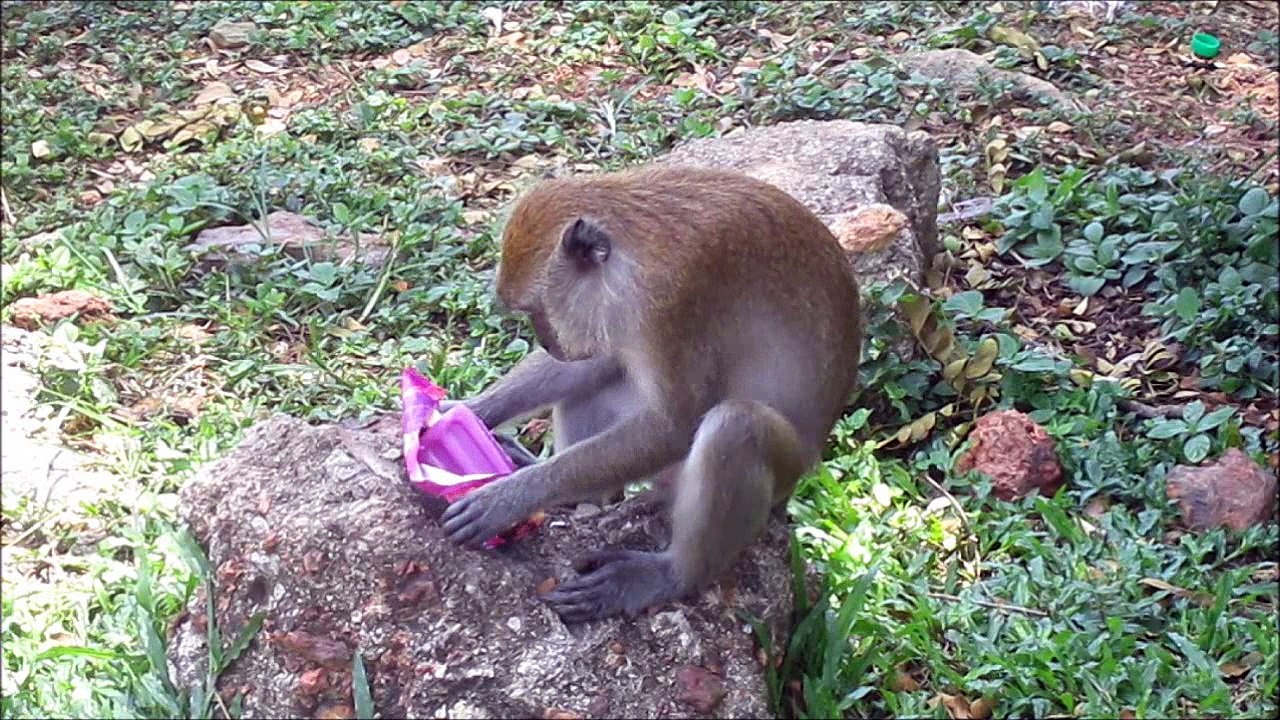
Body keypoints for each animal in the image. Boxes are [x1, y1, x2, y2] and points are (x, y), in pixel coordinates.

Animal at [441, 164, 862, 623]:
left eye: (537, 310)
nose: (548, 342)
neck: (632, 250)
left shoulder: (674, 300)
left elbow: (676, 425)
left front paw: (510, 497)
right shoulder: (615, 315)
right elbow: (601, 360)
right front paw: (465, 410)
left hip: (784, 467)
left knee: (736, 426)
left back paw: (669, 576)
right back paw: (585, 496)